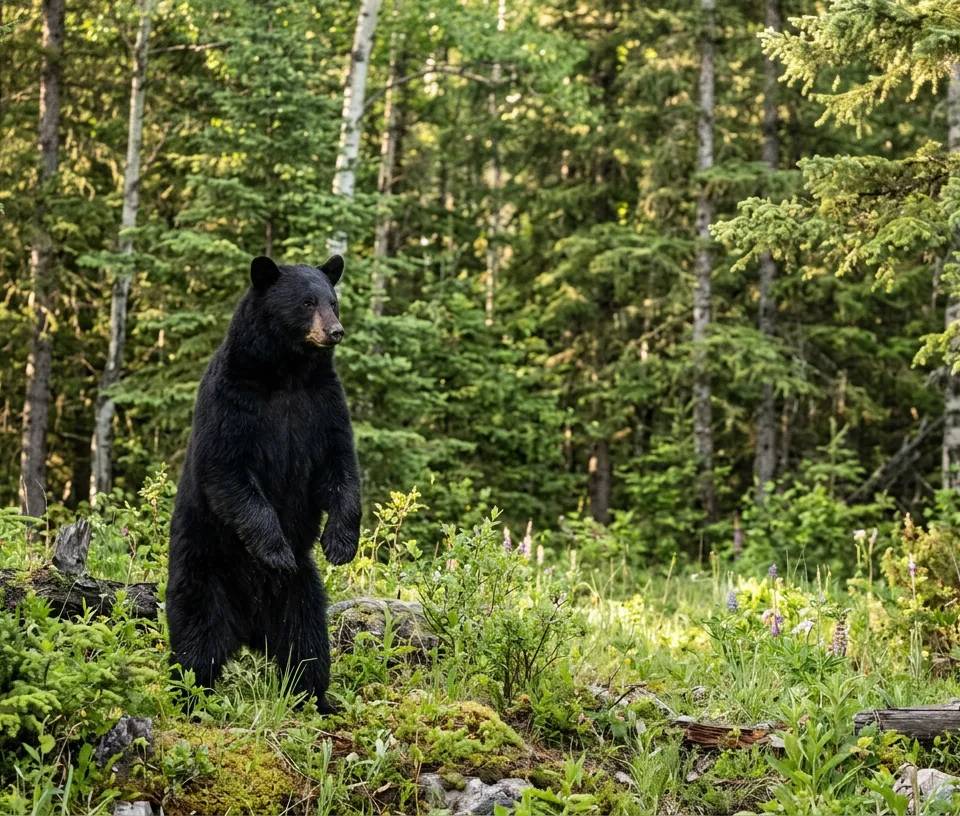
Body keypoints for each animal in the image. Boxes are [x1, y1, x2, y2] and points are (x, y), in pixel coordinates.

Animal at [166, 254, 361, 714]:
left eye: (333, 301)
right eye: (307, 302)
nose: (335, 331)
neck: (287, 373)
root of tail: (248, 629)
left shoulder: (324, 404)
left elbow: (340, 468)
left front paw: (340, 544)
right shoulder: (232, 400)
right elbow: (229, 472)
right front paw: (276, 552)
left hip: (300, 597)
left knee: (307, 646)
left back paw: (318, 699)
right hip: (203, 573)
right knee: (196, 643)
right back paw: (189, 699)